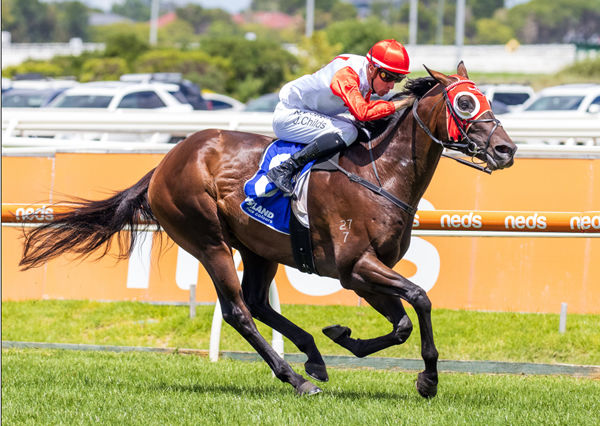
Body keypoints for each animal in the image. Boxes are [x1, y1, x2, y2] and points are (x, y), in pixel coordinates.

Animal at [18, 62, 516, 396]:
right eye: (465, 101)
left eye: (487, 98)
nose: (506, 149)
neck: (380, 173)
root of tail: (166, 162)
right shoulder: (357, 265)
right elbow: (420, 299)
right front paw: (428, 379)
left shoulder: (361, 274)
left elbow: (401, 324)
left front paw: (344, 338)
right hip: (208, 240)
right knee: (238, 310)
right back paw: (296, 378)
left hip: (257, 248)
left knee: (256, 302)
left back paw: (312, 357)